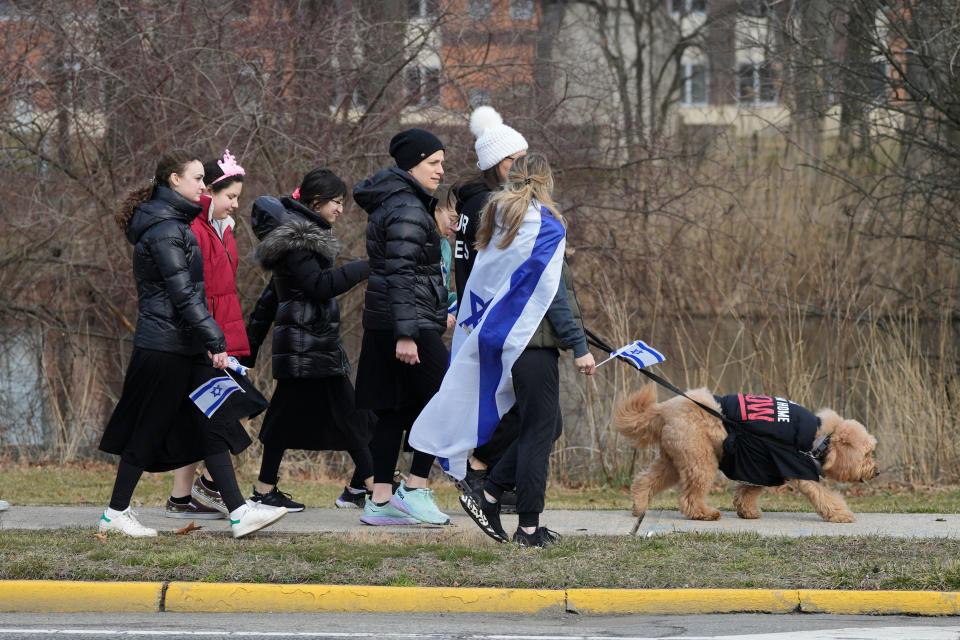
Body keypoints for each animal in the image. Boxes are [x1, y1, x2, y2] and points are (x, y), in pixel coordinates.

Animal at [616, 382, 876, 524]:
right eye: (867, 454)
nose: (876, 472)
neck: (821, 439)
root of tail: (663, 410)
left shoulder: (764, 465)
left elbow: (748, 490)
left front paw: (747, 510)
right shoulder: (796, 467)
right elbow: (823, 496)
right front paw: (841, 514)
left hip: (675, 459)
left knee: (645, 480)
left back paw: (639, 505)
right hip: (700, 461)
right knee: (690, 496)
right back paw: (704, 513)